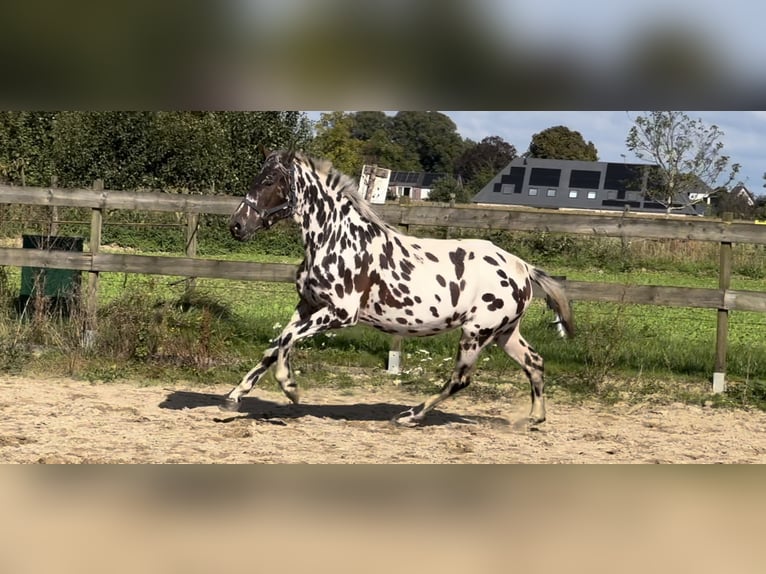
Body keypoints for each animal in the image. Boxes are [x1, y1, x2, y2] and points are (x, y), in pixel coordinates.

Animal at [224, 150, 576, 428]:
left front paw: (290, 387)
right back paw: (534, 419)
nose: (237, 226)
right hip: (504, 333)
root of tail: (523, 267)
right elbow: (275, 345)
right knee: (534, 363)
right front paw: (235, 394)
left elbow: (286, 340)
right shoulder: (307, 306)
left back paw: (409, 415)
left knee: (460, 379)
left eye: (269, 181)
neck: (336, 238)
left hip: (477, 333)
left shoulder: (340, 313)